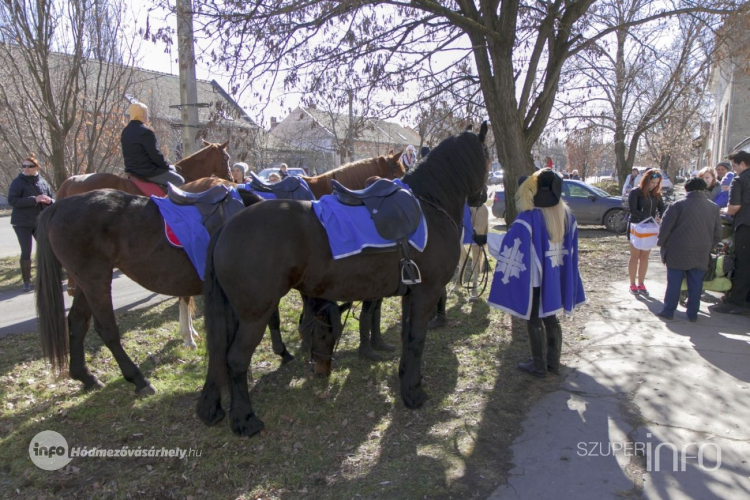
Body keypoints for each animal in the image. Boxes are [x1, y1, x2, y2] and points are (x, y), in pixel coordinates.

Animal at [200, 123, 494, 436]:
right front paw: (413, 393)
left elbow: (406, 337)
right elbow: (416, 339)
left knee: (218, 356)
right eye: (488, 157)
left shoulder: (411, 295)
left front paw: (405, 379)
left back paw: (213, 408)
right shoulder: (426, 293)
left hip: (234, 313)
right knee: (235, 359)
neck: (428, 207)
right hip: (255, 315)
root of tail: (228, 225)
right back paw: (245, 420)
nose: (482, 196)